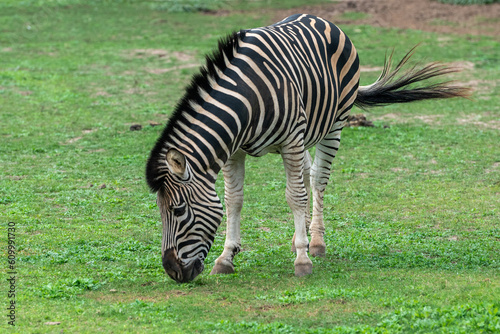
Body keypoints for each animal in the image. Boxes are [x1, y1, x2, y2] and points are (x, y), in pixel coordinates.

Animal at [145, 14, 468, 284]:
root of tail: (322, 19)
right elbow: (234, 200)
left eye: (178, 210)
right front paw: (226, 258)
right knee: (308, 173)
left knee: (318, 180)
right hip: (303, 136)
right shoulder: (235, 151)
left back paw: (316, 242)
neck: (245, 101)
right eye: (161, 210)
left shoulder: (290, 140)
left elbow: (295, 197)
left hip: (333, 125)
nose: (173, 272)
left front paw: (302, 259)